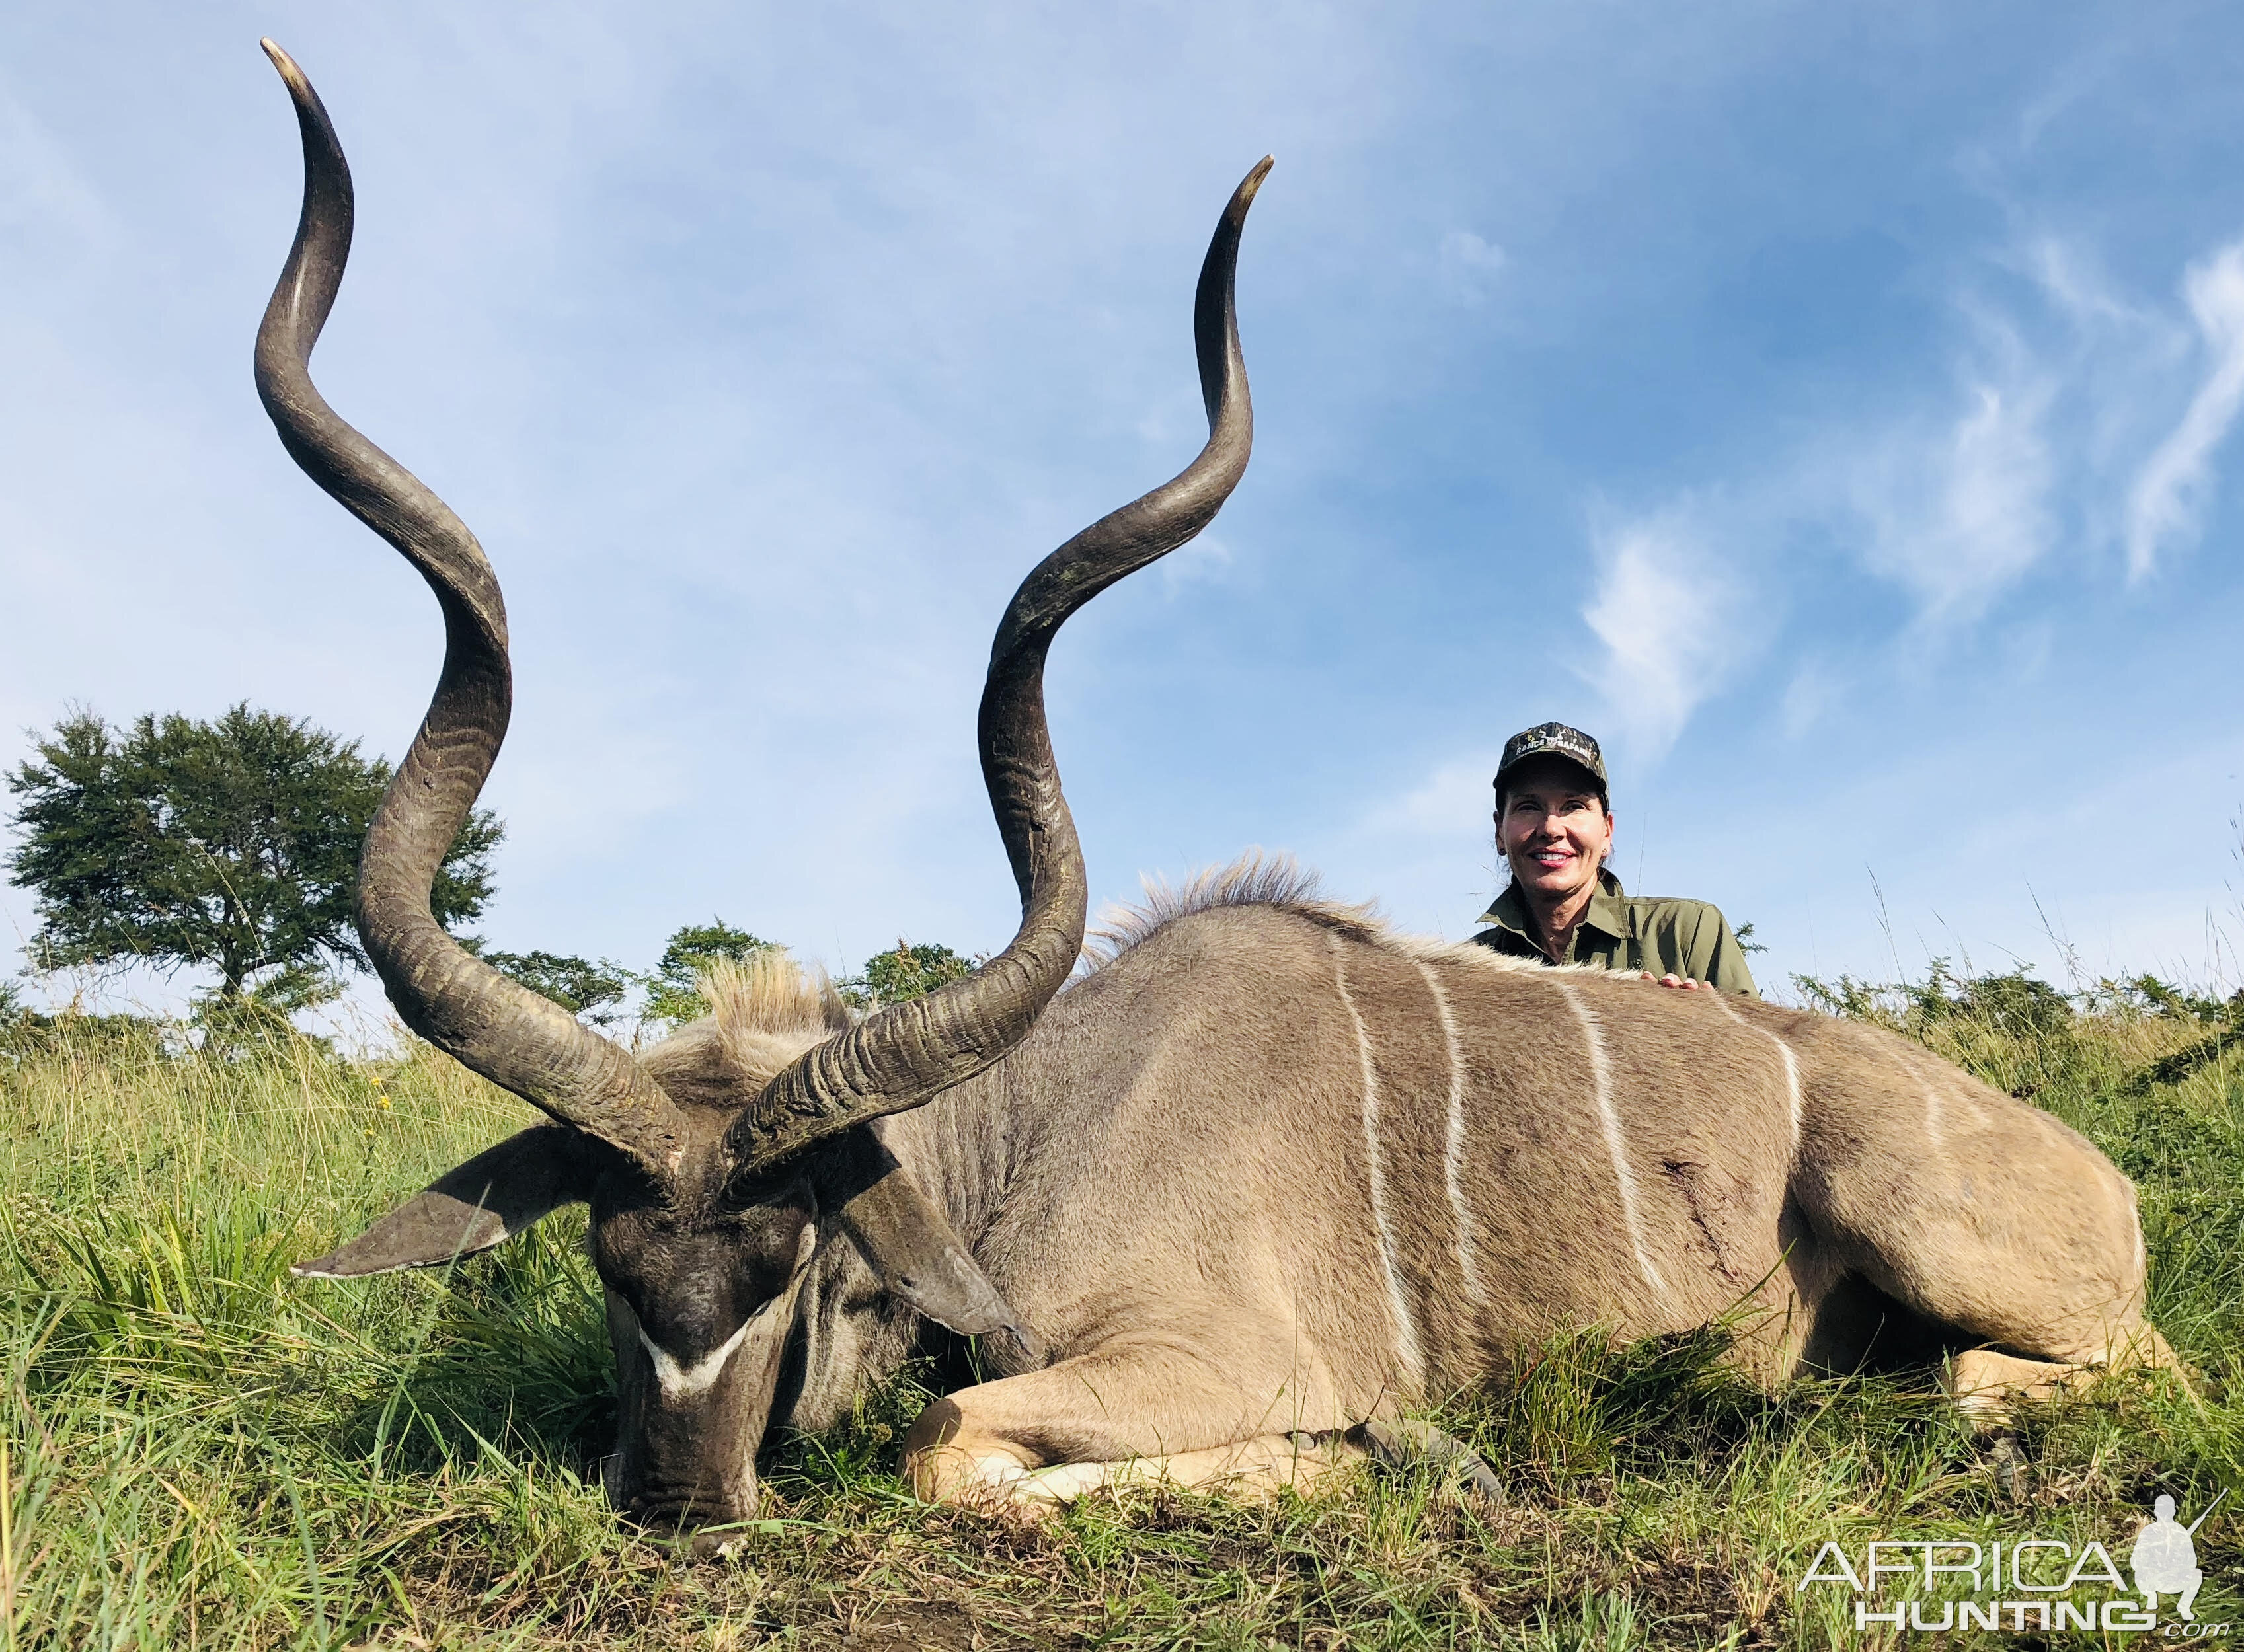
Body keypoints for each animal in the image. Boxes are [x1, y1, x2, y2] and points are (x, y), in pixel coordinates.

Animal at [262, 48, 2172, 1526]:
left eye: (791, 1258)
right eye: (607, 1261)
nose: (682, 1501)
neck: (1038, 1124)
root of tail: (2103, 1174)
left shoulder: (1203, 1351)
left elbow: (951, 1445)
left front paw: (1390, 1452)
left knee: (2072, 1367)